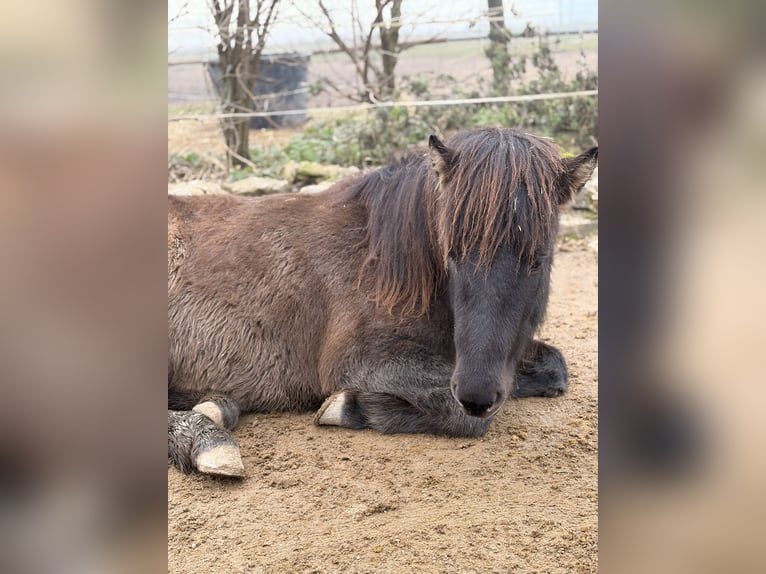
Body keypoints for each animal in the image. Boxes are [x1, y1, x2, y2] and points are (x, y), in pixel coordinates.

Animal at [168, 128, 597, 476]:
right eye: (452, 253)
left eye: (538, 258)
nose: (478, 393)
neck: (385, 260)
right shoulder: (360, 361)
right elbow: (464, 415)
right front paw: (347, 407)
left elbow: (554, 367)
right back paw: (206, 437)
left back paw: (214, 407)